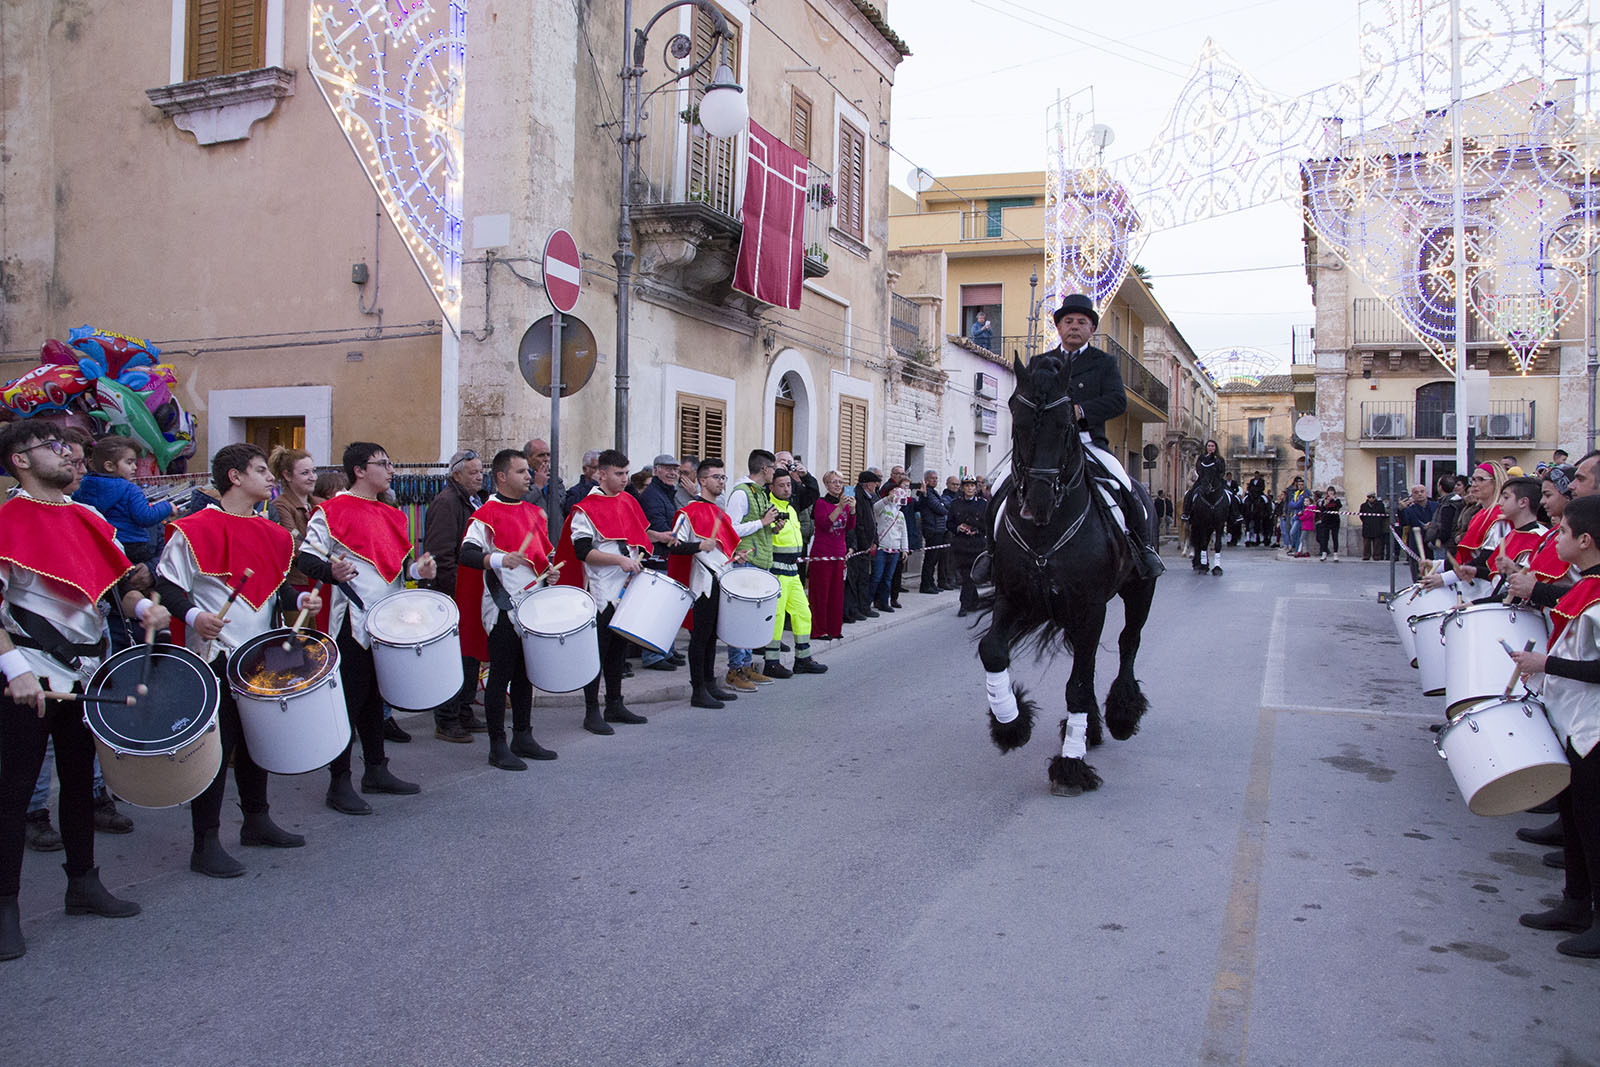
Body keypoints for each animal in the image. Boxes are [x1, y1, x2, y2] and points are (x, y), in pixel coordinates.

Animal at [979, 355, 1158, 796]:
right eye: (1019, 422)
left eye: (1065, 425)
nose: (1037, 504)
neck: (1045, 532)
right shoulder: (1013, 596)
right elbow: (993, 652)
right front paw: (1011, 725)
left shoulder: (1091, 606)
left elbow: (1076, 685)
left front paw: (1070, 766)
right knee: (1087, 658)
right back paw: (1090, 727)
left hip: (1139, 590)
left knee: (1128, 643)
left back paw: (1120, 715)